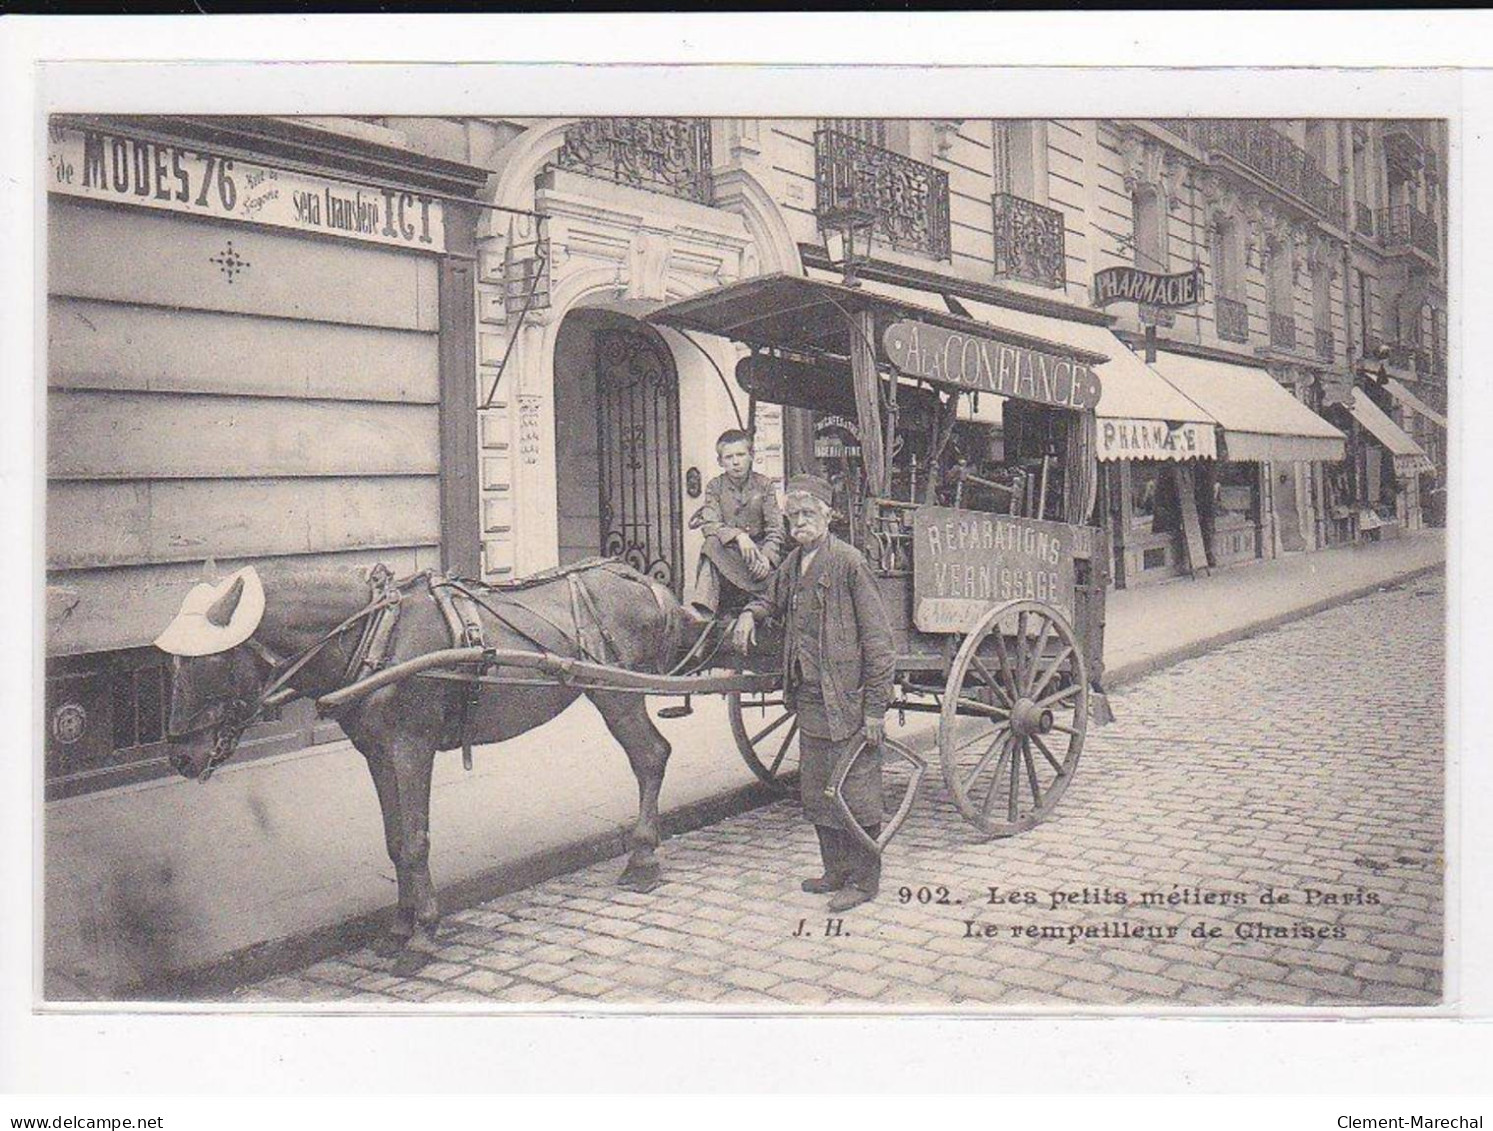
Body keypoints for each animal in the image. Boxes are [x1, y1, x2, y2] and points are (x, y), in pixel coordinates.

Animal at [160, 564, 695, 972]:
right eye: (172, 665)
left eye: (206, 661)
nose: (182, 755)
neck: (379, 637)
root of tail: (644, 581)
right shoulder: (378, 752)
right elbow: (395, 842)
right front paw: (399, 927)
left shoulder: (410, 747)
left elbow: (416, 842)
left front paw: (423, 934)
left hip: (617, 695)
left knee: (651, 757)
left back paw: (642, 859)